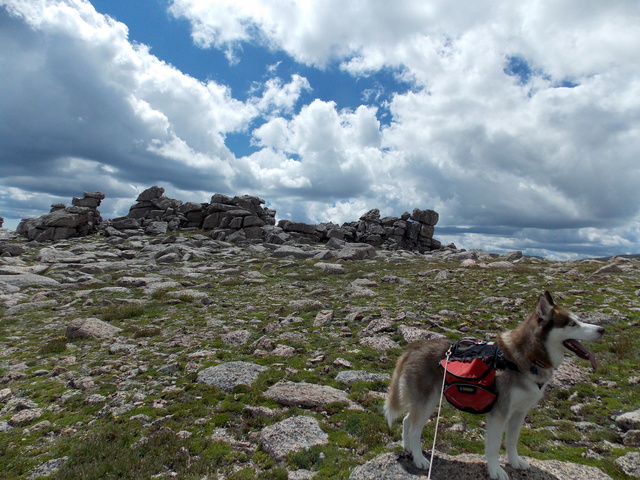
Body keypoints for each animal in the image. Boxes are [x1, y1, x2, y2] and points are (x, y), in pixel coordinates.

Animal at [384, 290, 604, 480]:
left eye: (578, 320)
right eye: (572, 323)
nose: (602, 329)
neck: (529, 358)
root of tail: (413, 347)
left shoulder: (519, 412)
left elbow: (512, 441)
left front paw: (515, 462)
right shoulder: (499, 413)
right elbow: (494, 446)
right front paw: (495, 470)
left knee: (407, 420)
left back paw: (408, 448)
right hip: (427, 402)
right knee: (414, 429)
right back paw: (419, 459)